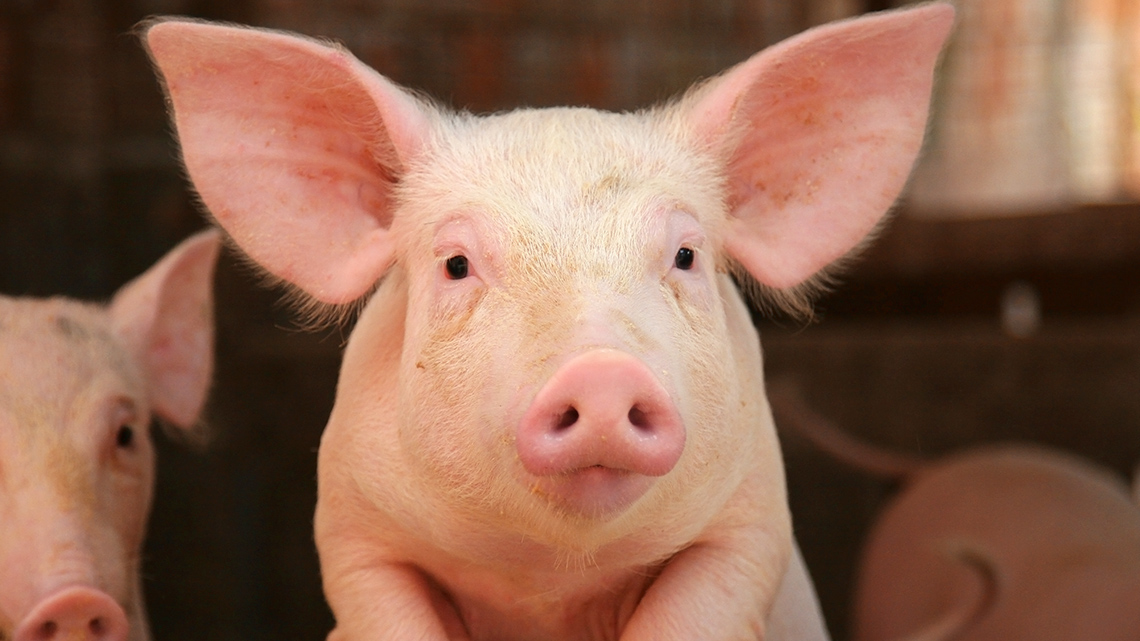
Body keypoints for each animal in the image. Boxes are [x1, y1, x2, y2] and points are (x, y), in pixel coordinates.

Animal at [142, 5, 953, 640]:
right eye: (456, 264)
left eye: (686, 254)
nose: (601, 372)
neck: (552, 579)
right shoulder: (353, 530)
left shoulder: (750, 522)